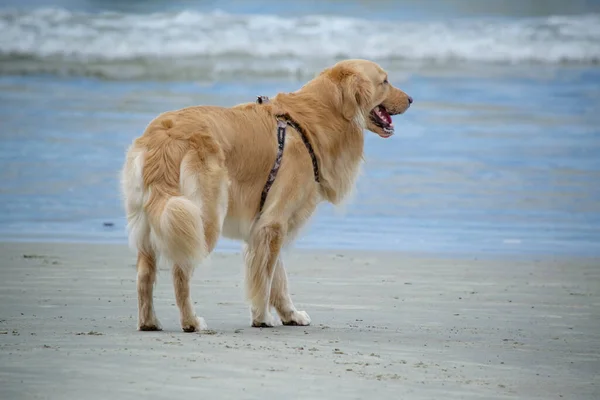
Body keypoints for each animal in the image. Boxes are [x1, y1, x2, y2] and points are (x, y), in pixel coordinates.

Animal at [120, 58, 412, 332]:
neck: (317, 117)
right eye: (385, 81)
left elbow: (278, 278)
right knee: (181, 271)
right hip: (199, 219)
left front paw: (290, 315)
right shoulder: (273, 223)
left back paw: (148, 322)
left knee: (144, 274)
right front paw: (262, 317)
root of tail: (166, 136)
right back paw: (191, 321)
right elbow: (266, 277)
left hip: (153, 220)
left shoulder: (268, 223)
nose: (411, 99)